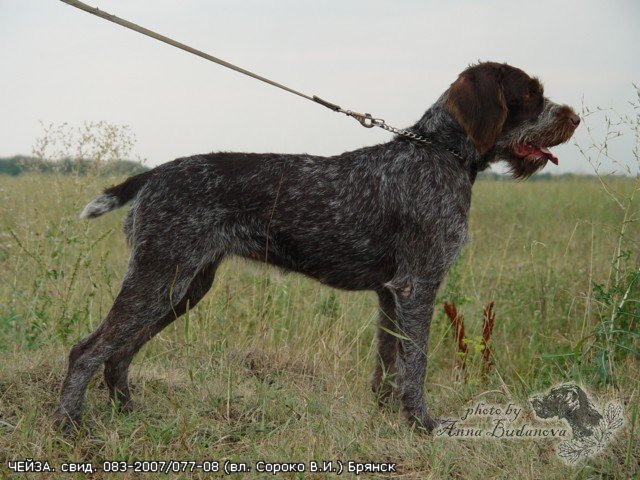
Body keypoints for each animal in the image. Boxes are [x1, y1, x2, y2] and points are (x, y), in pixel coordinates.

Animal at [55, 62, 580, 434]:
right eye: (530, 95)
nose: (574, 117)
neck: (440, 153)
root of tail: (155, 173)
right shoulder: (418, 286)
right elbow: (415, 364)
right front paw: (424, 426)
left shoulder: (391, 293)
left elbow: (388, 364)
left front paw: (387, 419)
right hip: (160, 275)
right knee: (87, 351)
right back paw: (68, 427)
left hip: (182, 287)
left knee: (119, 354)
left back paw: (129, 414)